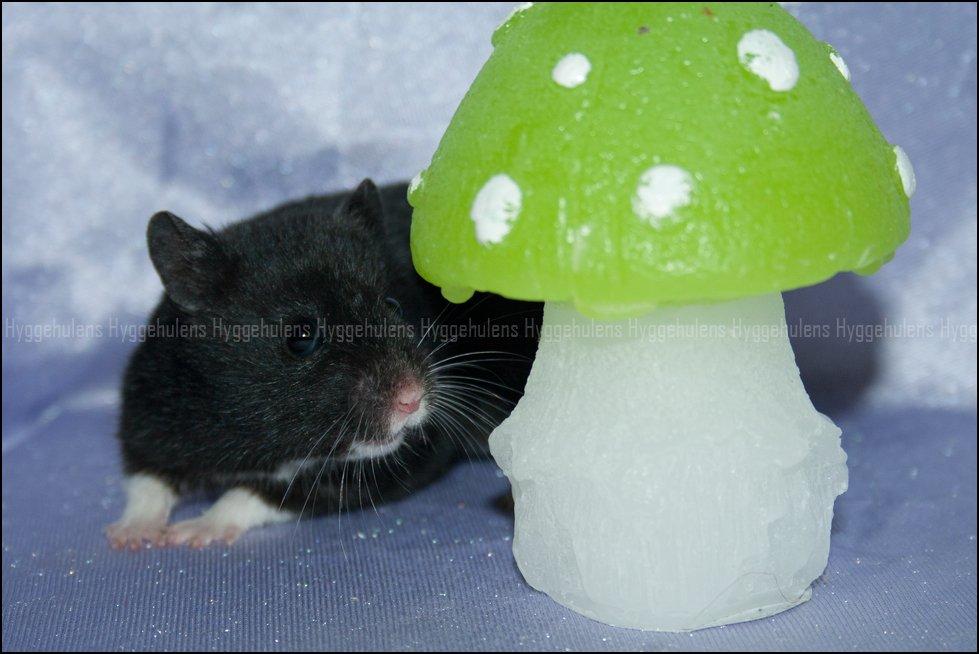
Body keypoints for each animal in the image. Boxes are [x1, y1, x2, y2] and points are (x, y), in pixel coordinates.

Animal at [106, 179, 541, 549]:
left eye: (393, 306)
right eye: (301, 338)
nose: (412, 400)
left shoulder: (410, 456)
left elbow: (266, 493)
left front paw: (193, 533)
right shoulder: (152, 407)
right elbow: (145, 476)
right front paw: (130, 537)